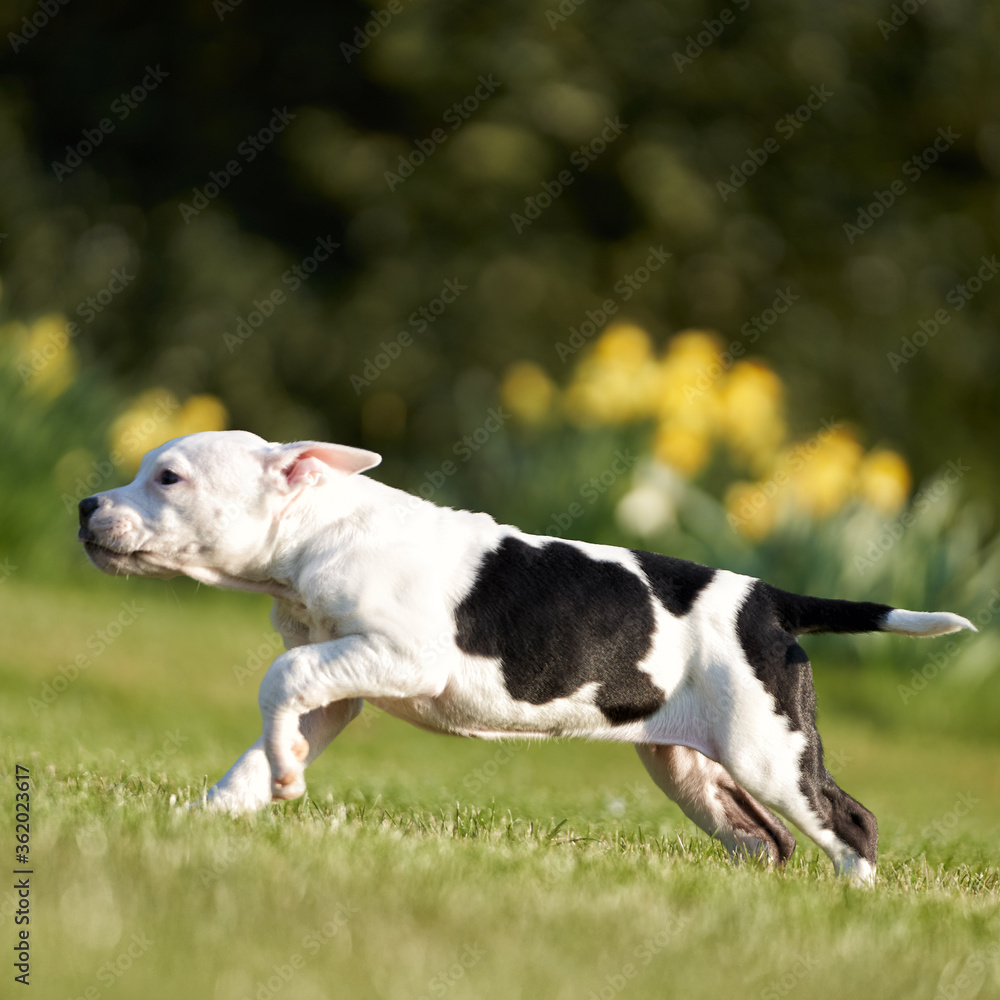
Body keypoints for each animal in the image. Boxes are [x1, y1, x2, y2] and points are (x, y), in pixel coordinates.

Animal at [80, 430, 976, 884]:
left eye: (167, 478)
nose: (87, 504)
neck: (319, 528)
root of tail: (771, 599)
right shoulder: (344, 676)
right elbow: (284, 709)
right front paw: (228, 804)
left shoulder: (402, 655)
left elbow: (280, 677)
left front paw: (281, 778)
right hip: (692, 764)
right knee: (767, 838)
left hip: (769, 749)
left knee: (847, 820)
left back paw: (855, 898)